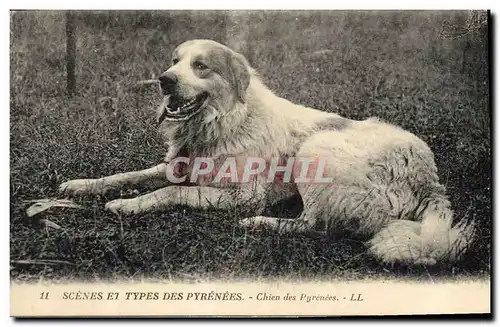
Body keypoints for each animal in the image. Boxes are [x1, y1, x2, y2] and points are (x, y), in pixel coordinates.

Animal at [60, 39, 474, 268]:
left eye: (200, 66)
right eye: (174, 61)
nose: (164, 79)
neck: (224, 120)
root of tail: (430, 180)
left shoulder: (243, 195)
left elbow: (170, 191)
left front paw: (127, 205)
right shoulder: (177, 166)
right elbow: (125, 176)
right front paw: (81, 185)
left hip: (315, 151)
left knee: (315, 226)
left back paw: (259, 224)